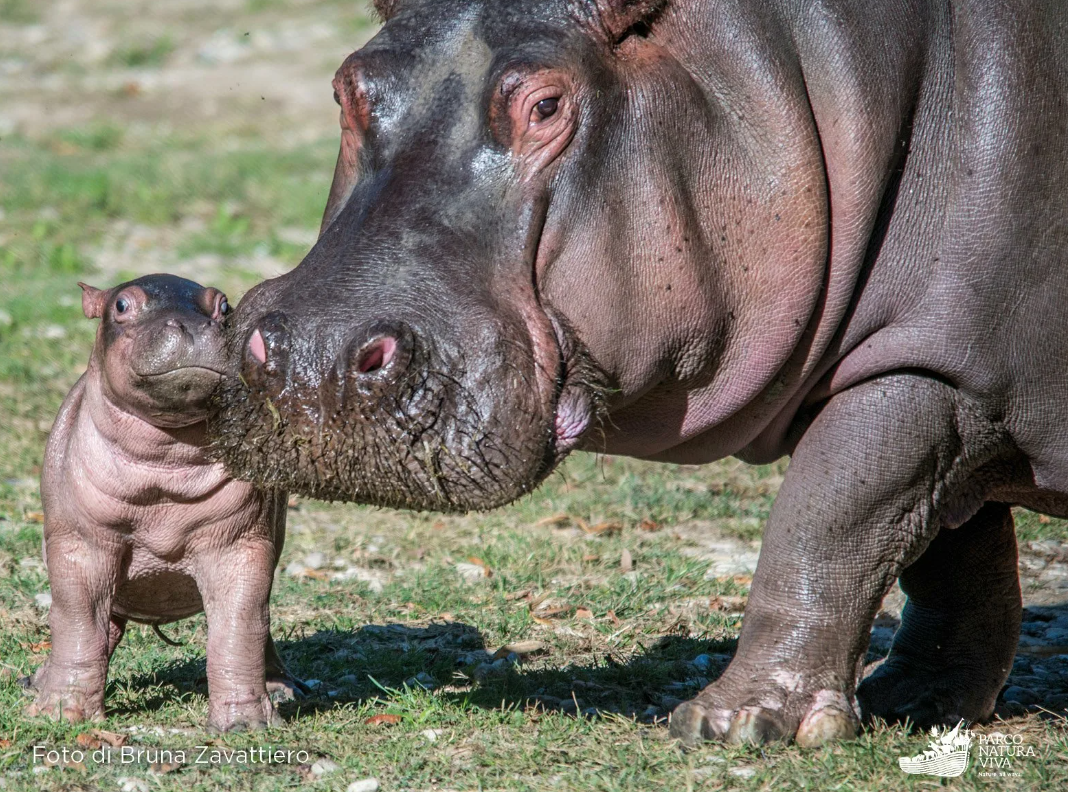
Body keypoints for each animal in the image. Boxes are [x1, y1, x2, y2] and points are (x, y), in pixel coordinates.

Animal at [29, 275, 296, 734]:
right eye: (121, 305)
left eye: (224, 306)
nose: (195, 327)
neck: (164, 461)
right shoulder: (81, 544)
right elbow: (77, 620)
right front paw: (60, 713)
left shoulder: (240, 545)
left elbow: (239, 626)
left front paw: (246, 726)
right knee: (100, 629)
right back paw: (38, 682)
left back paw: (282, 691)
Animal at [212, 0, 1068, 742]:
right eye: (347, 86)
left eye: (546, 106)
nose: (316, 355)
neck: (799, 71)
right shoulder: (941, 376)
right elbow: (947, 545)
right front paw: (916, 701)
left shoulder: (936, 372)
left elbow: (831, 516)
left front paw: (732, 725)